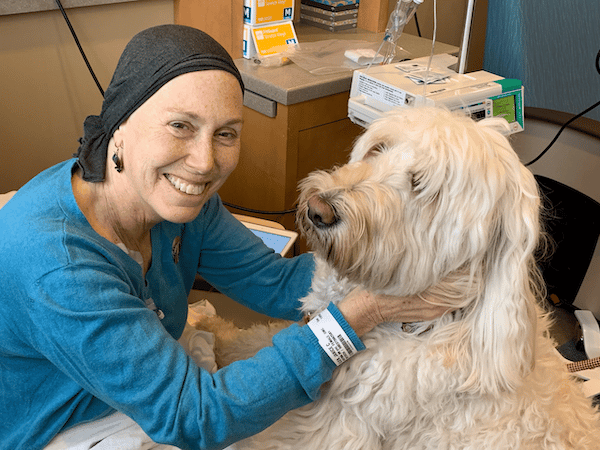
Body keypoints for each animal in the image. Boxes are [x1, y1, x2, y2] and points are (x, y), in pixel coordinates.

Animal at [197, 107, 600, 448]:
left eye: (421, 183)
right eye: (378, 148)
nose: (318, 209)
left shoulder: (332, 425)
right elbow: (256, 345)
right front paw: (211, 330)